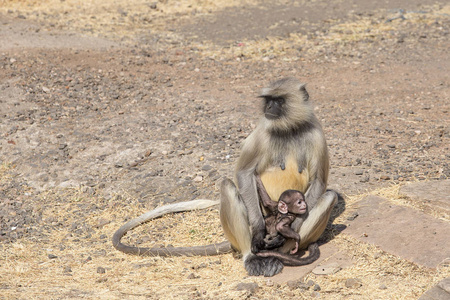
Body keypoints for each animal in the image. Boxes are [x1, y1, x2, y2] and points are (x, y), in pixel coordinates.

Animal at [221, 77, 338, 276]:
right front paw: (259, 232)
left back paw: (279, 255)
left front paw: (287, 230)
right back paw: (252, 257)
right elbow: (244, 173)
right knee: (227, 185)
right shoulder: (262, 130)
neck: (288, 129)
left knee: (330, 195)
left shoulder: (316, 131)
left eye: (279, 100)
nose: (268, 107)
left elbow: (319, 181)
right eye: (268, 100)